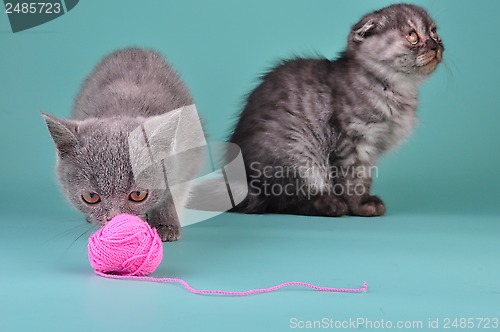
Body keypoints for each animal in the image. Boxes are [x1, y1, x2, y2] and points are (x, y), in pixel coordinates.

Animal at [42, 48, 195, 241]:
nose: (115, 218)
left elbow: (174, 192)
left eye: (138, 195)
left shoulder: (186, 158)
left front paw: (166, 225)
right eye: (90, 197)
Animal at [229, 3, 444, 217]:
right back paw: (330, 204)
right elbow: (354, 181)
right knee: (283, 200)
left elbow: (365, 178)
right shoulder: (353, 143)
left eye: (434, 33)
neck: (397, 88)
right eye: (412, 36)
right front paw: (360, 206)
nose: (436, 46)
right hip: (299, 154)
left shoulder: (369, 151)